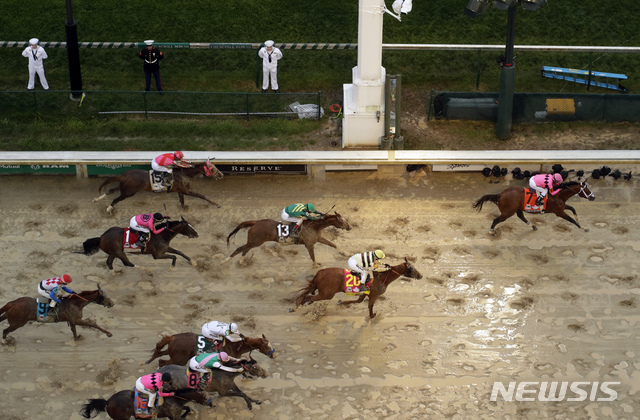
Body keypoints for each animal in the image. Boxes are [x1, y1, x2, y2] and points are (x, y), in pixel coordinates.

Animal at [91, 161, 224, 213]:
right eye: (213, 169)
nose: (221, 174)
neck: (184, 173)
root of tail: (125, 175)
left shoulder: (180, 190)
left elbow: (181, 200)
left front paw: (184, 207)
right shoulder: (187, 191)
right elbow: (203, 196)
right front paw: (217, 204)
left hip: (124, 187)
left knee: (111, 190)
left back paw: (97, 199)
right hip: (129, 192)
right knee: (116, 199)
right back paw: (109, 209)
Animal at [145, 332, 276, 368]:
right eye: (267, 346)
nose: (274, 356)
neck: (235, 345)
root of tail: (173, 337)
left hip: (172, 352)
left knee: (159, 356)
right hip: (179, 359)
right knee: (162, 361)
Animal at [222, 212, 352, 268]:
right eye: (341, 221)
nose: (350, 227)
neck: (314, 226)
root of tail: (256, 222)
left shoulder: (319, 238)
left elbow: (333, 244)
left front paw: (346, 253)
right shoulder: (309, 245)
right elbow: (313, 256)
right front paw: (316, 265)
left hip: (253, 242)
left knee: (245, 249)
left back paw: (242, 261)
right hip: (256, 241)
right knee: (240, 248)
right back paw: (226, 260)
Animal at [292, 258, 422, 320]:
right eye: (412, 268)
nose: (420, 275)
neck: (382, 277)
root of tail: (320, 272)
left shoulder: (365, 292)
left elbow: (359, 301)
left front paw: (342, 302)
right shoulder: (373, 295)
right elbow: (370, 306)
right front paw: (372, 315)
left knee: (308, 295)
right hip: (327, 294)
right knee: (308, 296)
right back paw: (298, 306)